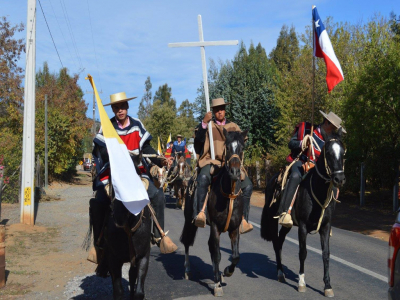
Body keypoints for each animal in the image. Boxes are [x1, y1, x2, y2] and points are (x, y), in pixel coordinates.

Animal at [180, 130, 247, 296]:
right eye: (227, 147)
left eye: (242, 148)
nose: (235, 171)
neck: (229, 196)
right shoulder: (216, 226)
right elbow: (217, 254)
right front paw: (217, 285)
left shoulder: (234, 228)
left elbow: (235, 256)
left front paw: (226, 272)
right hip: (189, 220)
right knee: (187, 241)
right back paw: (187, 269)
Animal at [260, 128, 346, 298]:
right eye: (328, 153)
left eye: (343, 152)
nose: (339, 179)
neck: (318, 191)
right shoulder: (303, 227)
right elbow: (303, 252)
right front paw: (301, 282)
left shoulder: (325, 227)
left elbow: (326, 254)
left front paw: (327, 286)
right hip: (274, 220)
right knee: (276, 242)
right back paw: (280, 273)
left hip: (288, 225)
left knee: (280, 241)